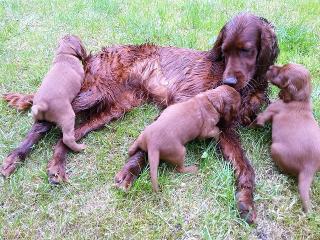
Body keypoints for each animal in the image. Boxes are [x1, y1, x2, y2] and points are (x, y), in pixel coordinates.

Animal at [1, 13, 278, 223]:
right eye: (225, 50)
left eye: (246, 50)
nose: (229, 81)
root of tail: (91, 56)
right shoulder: (180, 104)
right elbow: (152, 141)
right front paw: (130, 173)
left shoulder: (226, 126)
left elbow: (245, 166)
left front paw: (246, 201)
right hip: (92, 94)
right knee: (43, 123)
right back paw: (15, 158)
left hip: (114, 107)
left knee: (68, 135)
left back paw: (56, 167)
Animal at [255, 63, 320, 212]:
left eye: (281, 75)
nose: (270, 66)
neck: (300, 100)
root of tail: (309, 168)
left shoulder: (271, 110)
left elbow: (260, 118)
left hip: (275, 148)